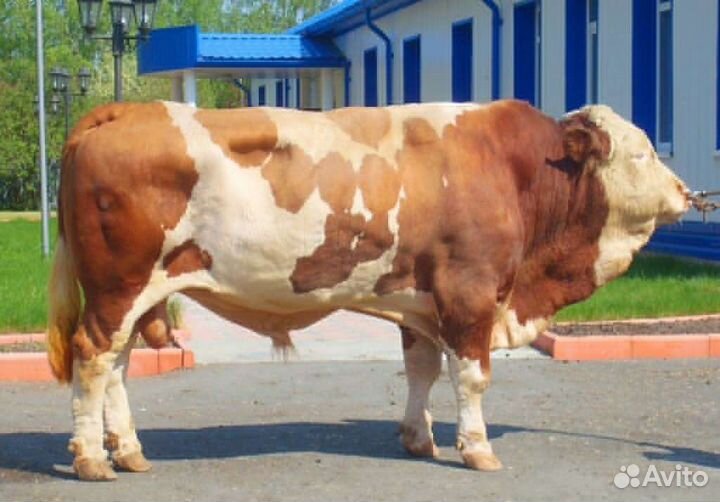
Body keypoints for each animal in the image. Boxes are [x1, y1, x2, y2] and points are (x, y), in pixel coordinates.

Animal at [47, 99, 690, 481]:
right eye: (641, 152)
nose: (687, 192)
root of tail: (130, 109)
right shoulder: (470, 291)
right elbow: (471, 376)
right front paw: (477, 448)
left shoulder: (420, 299)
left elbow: (422, 369)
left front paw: (419, 438)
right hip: (118, 289)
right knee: (93, 358)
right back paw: (91, 458)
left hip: (134, 295)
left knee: (117, 366)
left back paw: (129, 451)